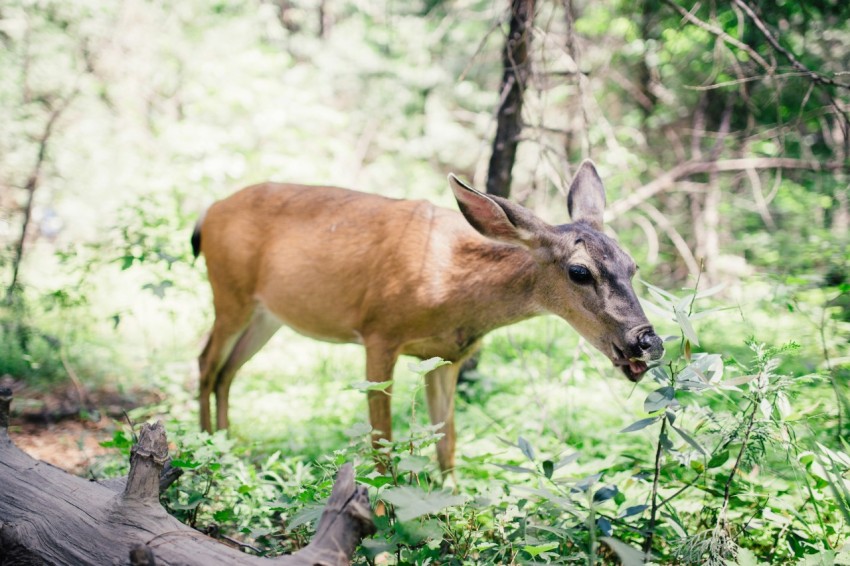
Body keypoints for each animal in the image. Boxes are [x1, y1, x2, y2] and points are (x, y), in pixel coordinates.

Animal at [192, 161, 664, 474]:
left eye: (633, 265)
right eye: (579, 271)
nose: (648, 341)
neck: (451, 284)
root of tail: (207, 211)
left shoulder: (449, 356)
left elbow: (447, 443)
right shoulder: (378, 332)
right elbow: (382, 442)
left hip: (267, 315)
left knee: (227, 370)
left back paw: (228, 450)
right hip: (229, 293)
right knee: (205, 362)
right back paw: (206, 454)